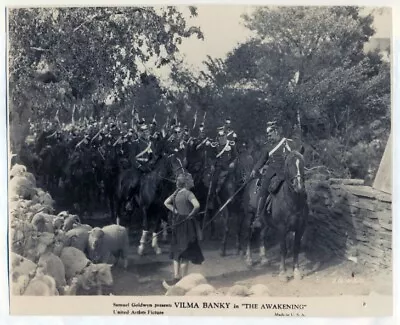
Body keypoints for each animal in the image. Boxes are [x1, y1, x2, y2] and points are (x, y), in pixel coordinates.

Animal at [239, 146, 308, 280]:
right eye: (288, 164)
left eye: (302, 163)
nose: (298, 186)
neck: (292, 201)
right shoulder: (282, 228)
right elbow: (283, 249)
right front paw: (283, 273)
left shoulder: (301, 228)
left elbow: (296, 248)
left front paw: (296, 272)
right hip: (249, 216)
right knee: (248, 234)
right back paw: (249, 259)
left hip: (266, 222)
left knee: (262, 235)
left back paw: (264, 259)